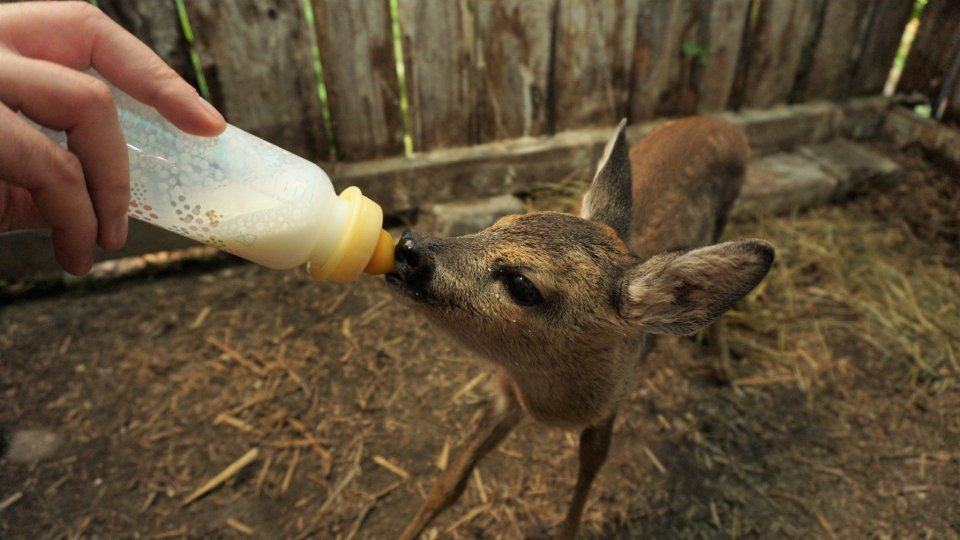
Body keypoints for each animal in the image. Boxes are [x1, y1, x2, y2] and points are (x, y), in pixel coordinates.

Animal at [386, 116, 768, 536]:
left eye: (522, 285)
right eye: (497, 224)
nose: (408, 247)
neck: (552, 405)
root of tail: (725, 124)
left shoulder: (611, 403)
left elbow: (587, 479)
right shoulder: (505, 388)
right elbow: (450, 484)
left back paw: (722, 367)